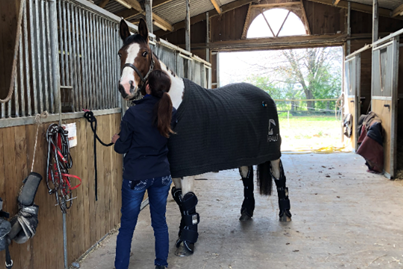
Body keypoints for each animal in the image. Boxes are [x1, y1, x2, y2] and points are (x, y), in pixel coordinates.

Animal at [118, 18, 292, 255]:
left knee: (279, 178)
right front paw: (182, 235)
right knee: (247, 179)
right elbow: (181, 202)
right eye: (120, 53)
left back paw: (285, 214)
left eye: (144, 53)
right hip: (244, 154)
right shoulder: (176, 167)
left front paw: (187, 243)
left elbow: (188, 201)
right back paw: (246, 212)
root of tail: (266, 96)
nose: (126, 87)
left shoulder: (188, 168)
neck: (173, 104)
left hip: (273, 153)